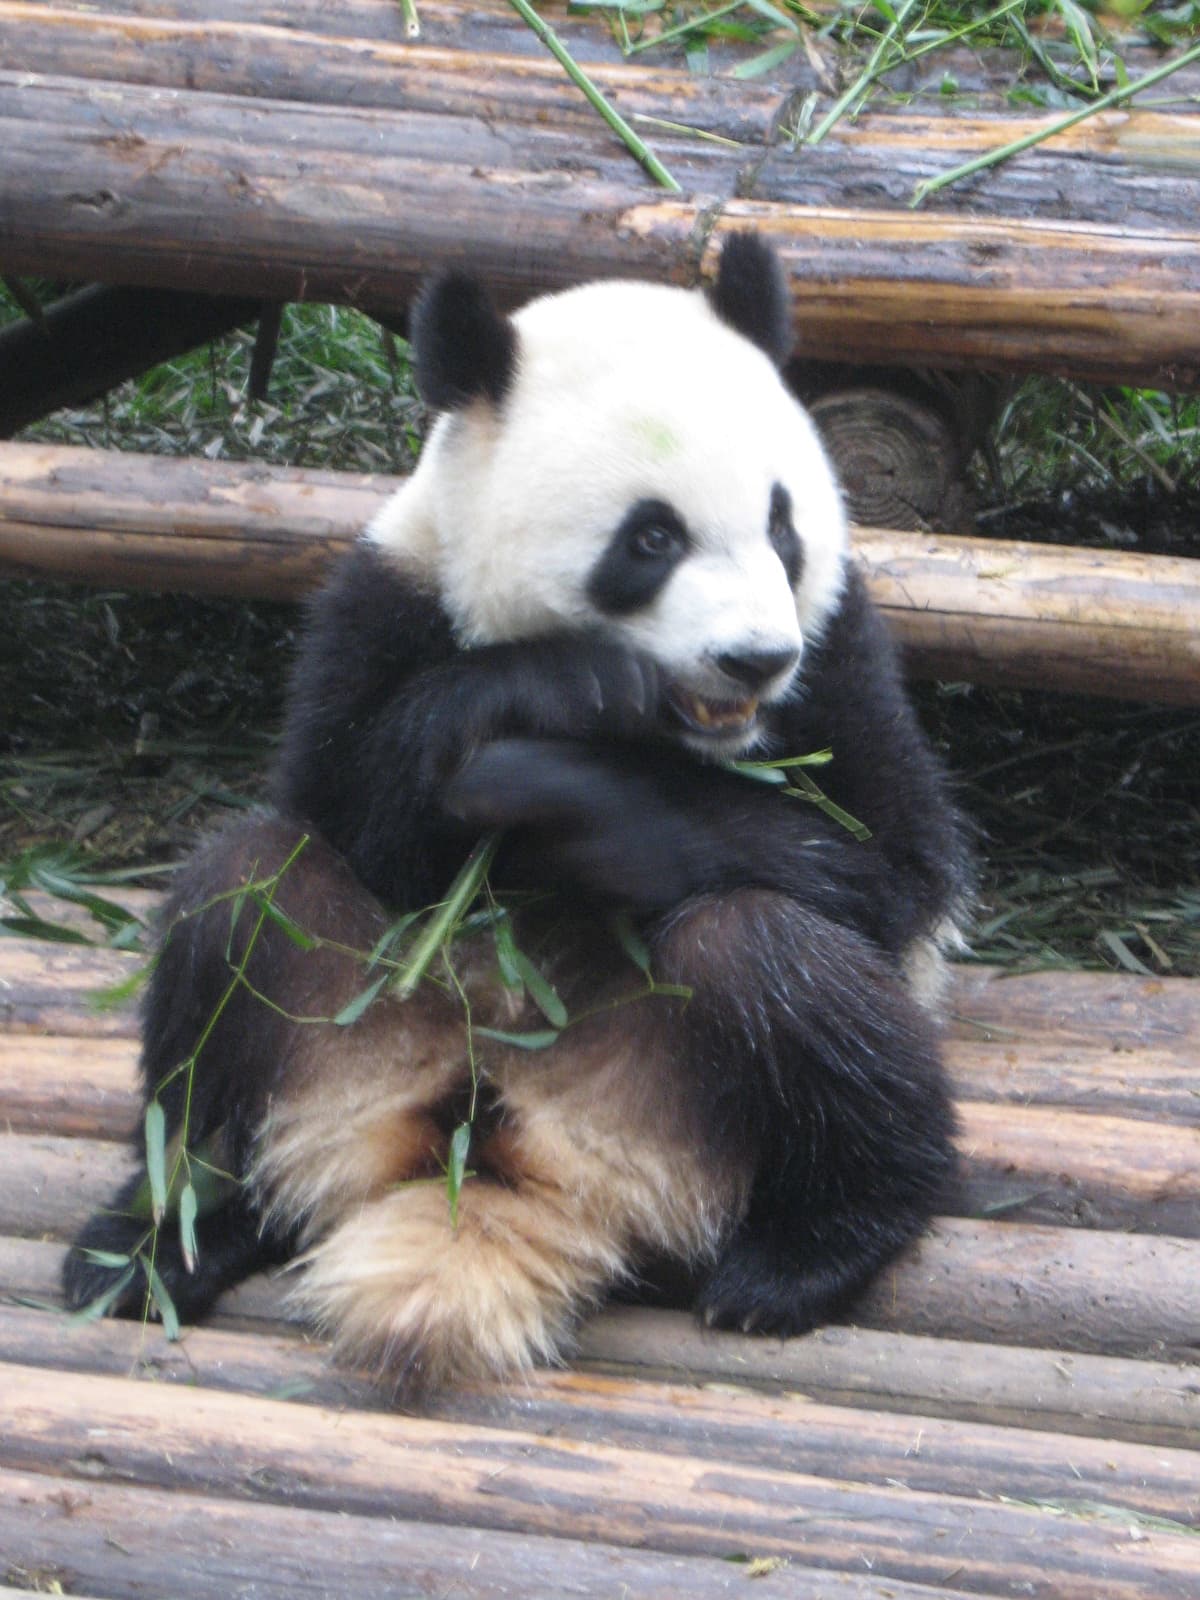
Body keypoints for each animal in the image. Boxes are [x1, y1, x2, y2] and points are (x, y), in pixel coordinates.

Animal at [65, 235, 970, 1391]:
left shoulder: (843, 647)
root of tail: (501, 1161)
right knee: (240, 914)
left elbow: (895, 870)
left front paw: (559, 796)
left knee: (777, 968)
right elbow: (343, 805)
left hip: (685, 1104)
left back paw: (805, 1256)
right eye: (651, 538)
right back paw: (159, 1236)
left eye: (783, 523)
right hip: (347, 1030)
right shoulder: (384, 596)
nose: (755, 659)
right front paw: (555, 695)